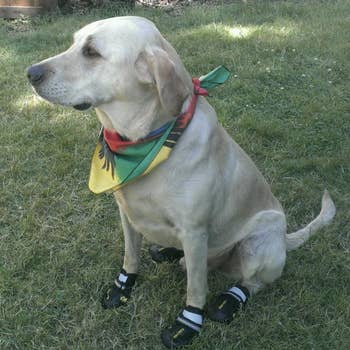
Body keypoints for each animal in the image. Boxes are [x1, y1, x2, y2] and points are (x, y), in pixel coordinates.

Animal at [26, 15, 334, 348]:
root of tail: (285, 239)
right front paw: (122, 288)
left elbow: (196, 289)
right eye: (73, 43)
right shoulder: (127, 215)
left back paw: (229, 300)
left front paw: (187, 324)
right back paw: (168, 251)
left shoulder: (195, 231)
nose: (31, 73)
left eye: (92, 52)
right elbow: (130, 258)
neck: (143, 142)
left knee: (250, 283)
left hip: (257, 242)